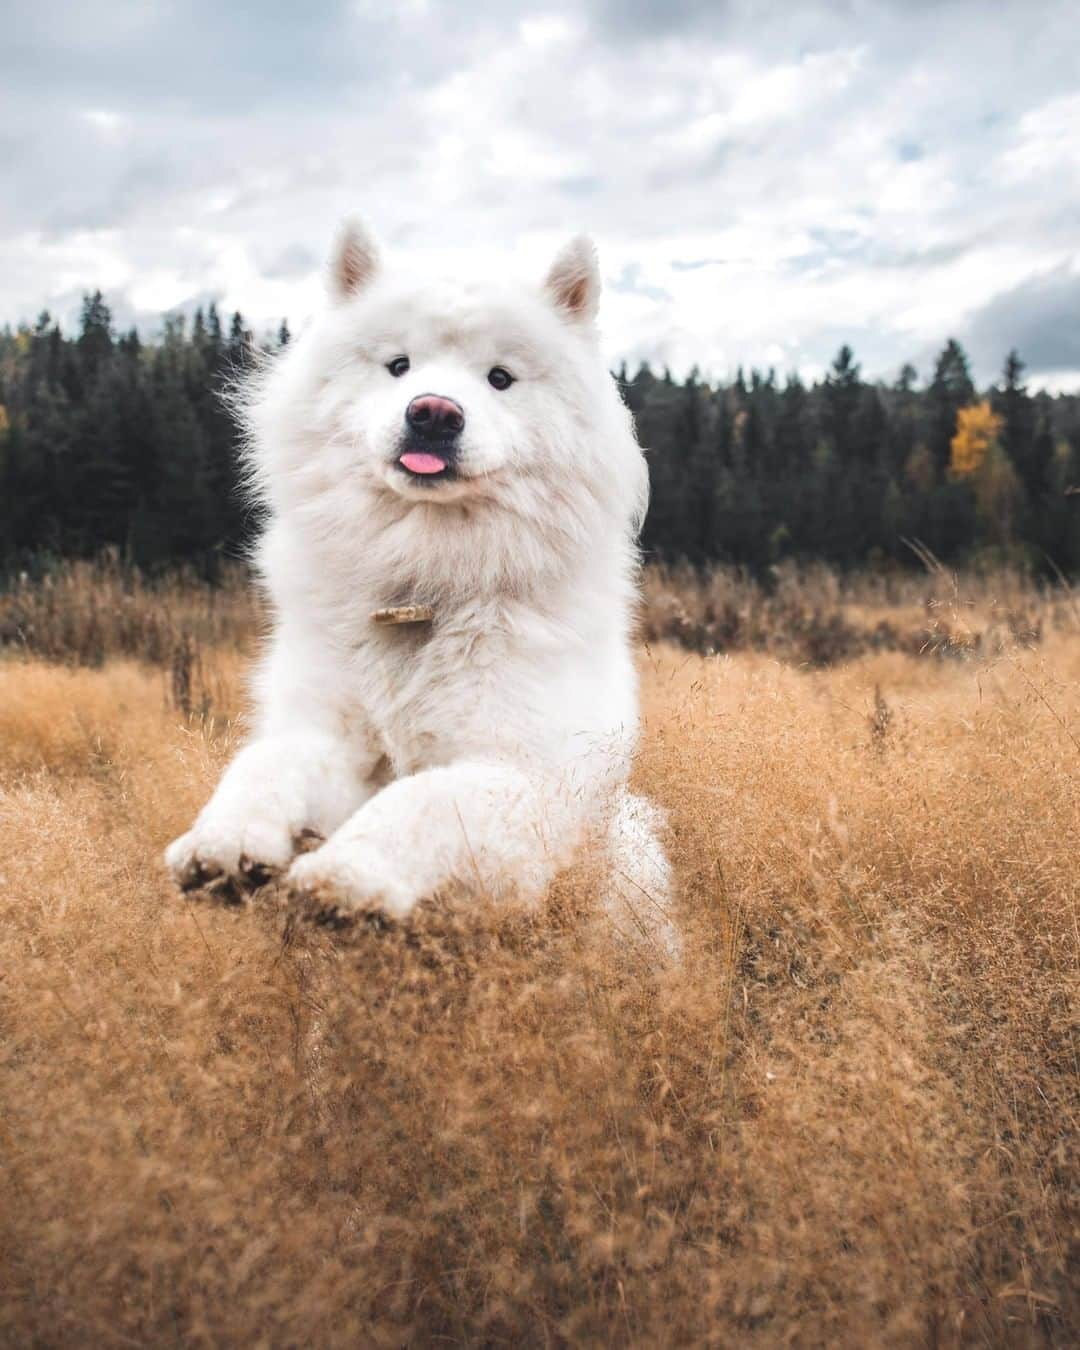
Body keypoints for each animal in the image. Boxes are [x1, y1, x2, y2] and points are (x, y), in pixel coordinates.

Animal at [166, 221, 675, 955]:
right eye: (399, 365)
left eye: (500, 378)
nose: (433, 413)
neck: (422, 581)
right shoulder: (334, 737)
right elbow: (265, 765)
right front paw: (223, 843)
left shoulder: (521, 778)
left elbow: (419, 802)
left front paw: (345, 877)